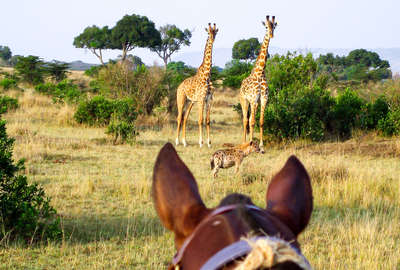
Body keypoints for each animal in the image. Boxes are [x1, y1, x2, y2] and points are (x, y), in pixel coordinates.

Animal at [239, 15, 276, 151]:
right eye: (266, 26)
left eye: (274, 26)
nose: (271, 35)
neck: (260, 73)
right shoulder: (254, 99)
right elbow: (252, 122)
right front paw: (251, 144)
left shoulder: (264, 99)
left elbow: (260, 121)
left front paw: (261, 145)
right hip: (244, 101)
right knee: (245, 120)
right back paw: (244, 142)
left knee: (249, 119)